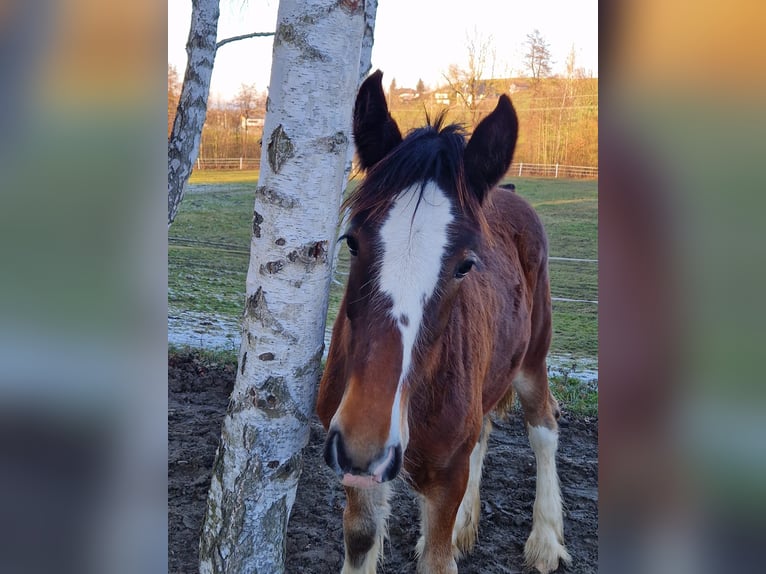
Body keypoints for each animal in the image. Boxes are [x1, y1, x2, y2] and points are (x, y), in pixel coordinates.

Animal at [316, 70, 570, 574]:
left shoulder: (445, 477)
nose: (363, 440)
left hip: (533, 359)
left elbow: (436, 558)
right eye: (351, 241)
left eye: (464, 265)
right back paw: (466, 527)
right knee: (485, 432)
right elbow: (361, 538)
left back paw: (545, 539)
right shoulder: (361, 477)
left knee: (543, 428)